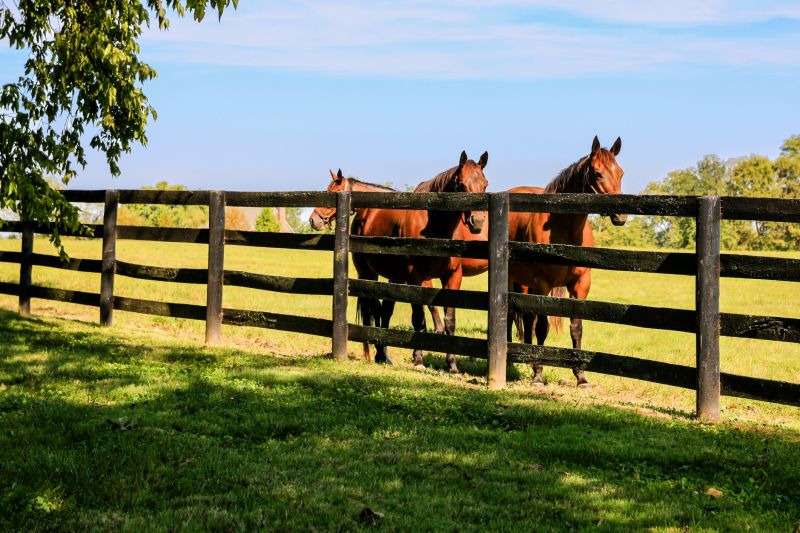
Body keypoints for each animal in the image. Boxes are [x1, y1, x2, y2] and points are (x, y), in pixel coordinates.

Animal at [309, 151, 489, 372]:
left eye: (485, 184)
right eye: (461, 184)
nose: (477, 221)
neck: (435, 227)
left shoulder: (452, 277)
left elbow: (449, 320)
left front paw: (452, 365)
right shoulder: (417, 278)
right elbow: (418, 318)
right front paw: (418, 360)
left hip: (394, 278)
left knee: (384, 312)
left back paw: (383, 355)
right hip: (369, 274)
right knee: (375, 309)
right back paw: (380, 353)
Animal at [508, 136, 626, 388]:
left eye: (620, 172)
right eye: (598, 173)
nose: (621, 215)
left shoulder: (580, 285)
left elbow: (576, 328)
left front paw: (581, 377)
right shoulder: (543, 285)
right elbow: (542, 328)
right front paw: (538, 375)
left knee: (527, 319)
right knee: (516, 317)